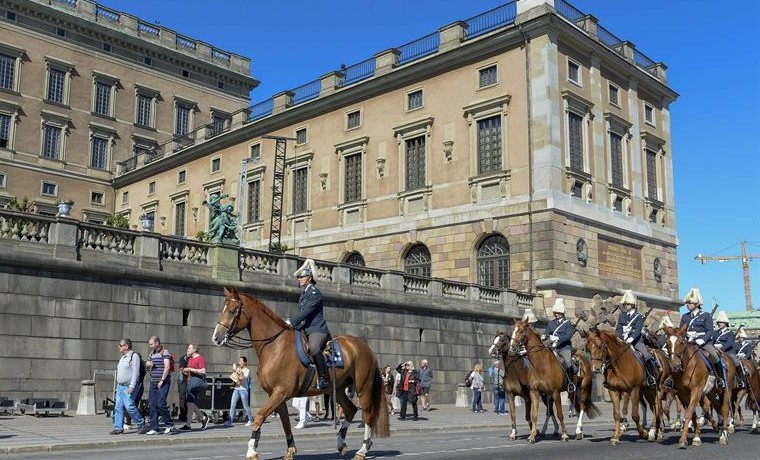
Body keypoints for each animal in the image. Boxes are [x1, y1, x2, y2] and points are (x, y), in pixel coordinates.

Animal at [214, 288, 392, 460]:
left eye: (232, 311)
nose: (216, 337)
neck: (274, 346)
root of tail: (365, 346)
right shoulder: (277, 395)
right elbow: (285, 422)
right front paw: (290, 449)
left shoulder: (280, 392)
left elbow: (259, 416)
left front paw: (252, 449)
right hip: (337, 389)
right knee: (351, 410)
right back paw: (341, 443)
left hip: (364, 387)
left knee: (368, 415)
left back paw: (362, 450)